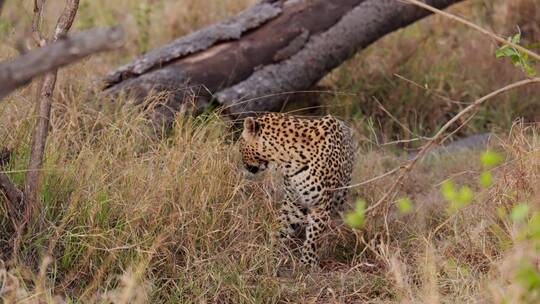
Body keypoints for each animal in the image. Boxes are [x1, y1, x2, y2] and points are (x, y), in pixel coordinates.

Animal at [239, 113, 356, 268]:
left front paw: (307, 263)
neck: (288, 160)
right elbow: (281, 227)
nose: (243, 165)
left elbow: (314, 237)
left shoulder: (320, 205)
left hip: (341, 196)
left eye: (240, 145)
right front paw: (271, 251)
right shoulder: (293, 202)